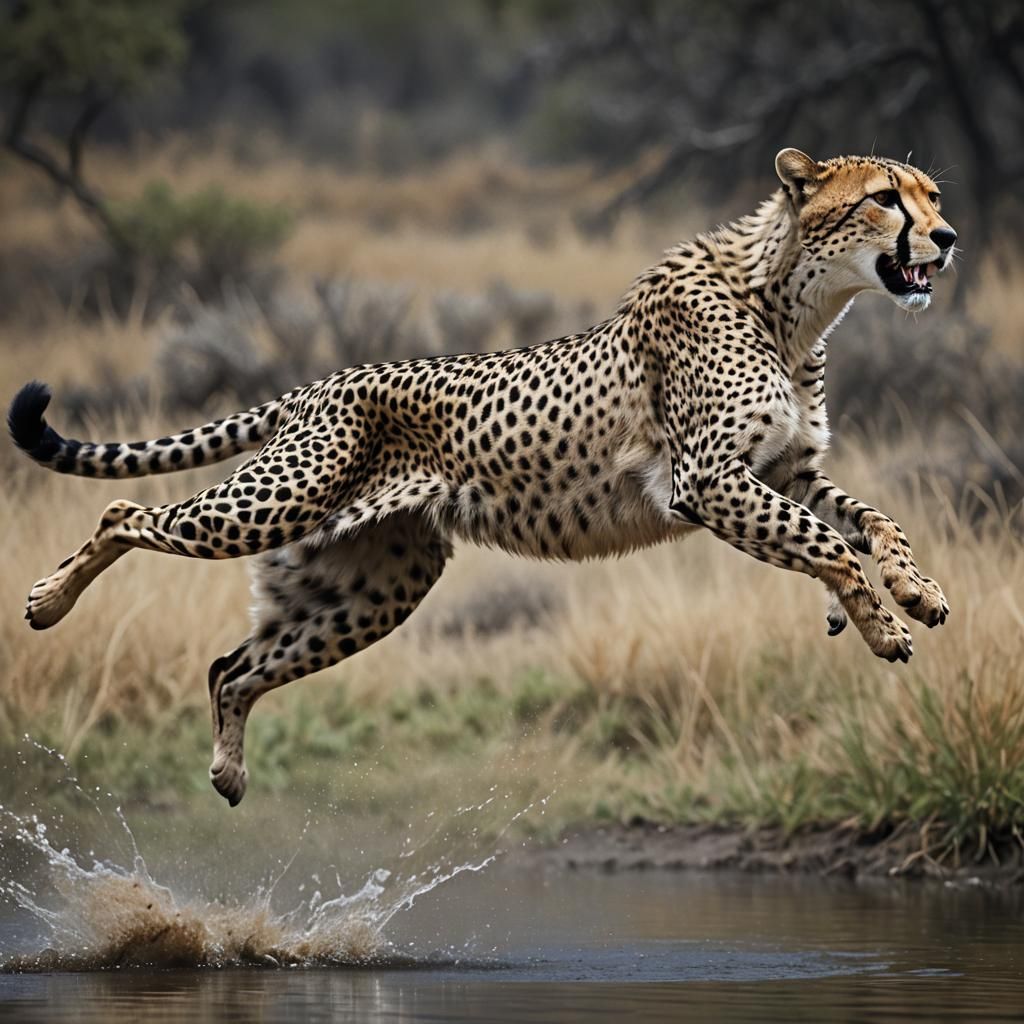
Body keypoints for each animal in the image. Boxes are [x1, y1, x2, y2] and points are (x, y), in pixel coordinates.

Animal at [8, 148, 955, 806]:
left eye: (933, 196)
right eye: (884, 198)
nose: (946, 239)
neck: (792, 305)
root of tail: (317, 383)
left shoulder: (783, 472)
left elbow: (872, 520)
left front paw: (915, 592)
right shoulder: (710, 481)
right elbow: (830, 542)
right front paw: (880, 626)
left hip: (373, 584)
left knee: (229, 667)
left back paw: (230, 773)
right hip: (273, 505)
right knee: (125, 512)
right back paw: (48, 603)